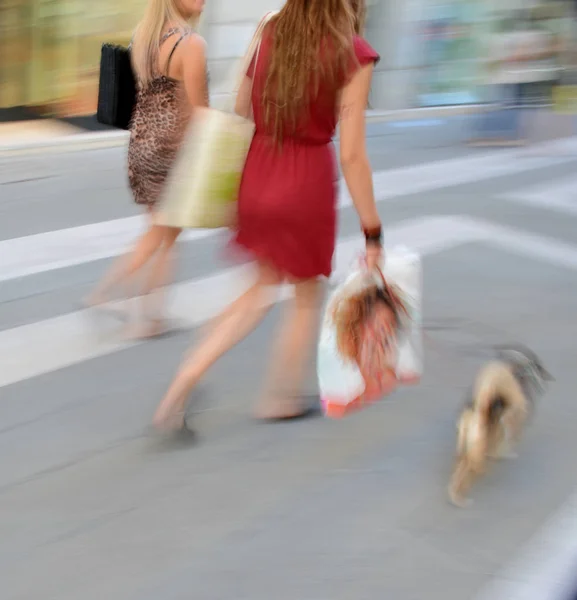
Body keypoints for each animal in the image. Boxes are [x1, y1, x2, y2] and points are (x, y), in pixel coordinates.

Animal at [448, 344, 552, 508]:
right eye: (539, 365)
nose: (549, 377)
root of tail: (479, 412)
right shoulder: (513, 425)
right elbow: (507, 443)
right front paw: (506, 454)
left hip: (466, 447)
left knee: (459, 471)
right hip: (477, 452)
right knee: (466, 474)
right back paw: (461, 499)